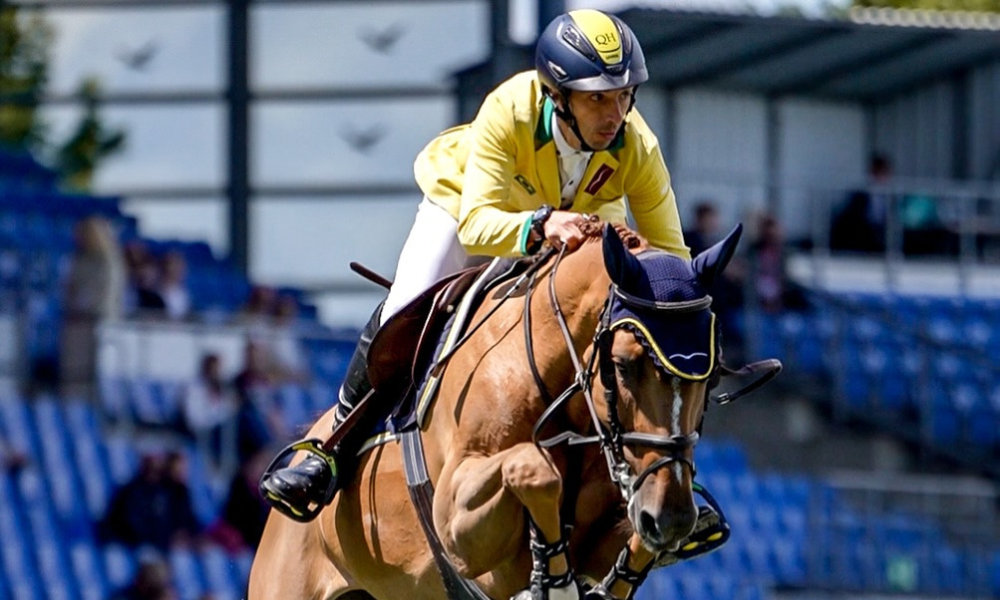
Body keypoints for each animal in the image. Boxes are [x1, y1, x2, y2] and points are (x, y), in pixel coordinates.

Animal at [248, 221, 764, 600]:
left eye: (711, 376)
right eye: (622, 365)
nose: (671, 518)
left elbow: (622, 546)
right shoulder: (456, 527)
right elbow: (533, 469)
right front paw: (550, 569)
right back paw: (307, 474)